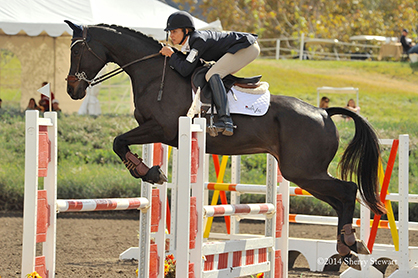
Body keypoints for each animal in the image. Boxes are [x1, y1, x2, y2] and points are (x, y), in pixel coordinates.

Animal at [63, 20, 386, 268]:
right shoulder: (158, 133)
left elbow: (118, 141)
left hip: (303, 171)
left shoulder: (162, 128)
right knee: (340, 199)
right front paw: (148, 170)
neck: (155, 74)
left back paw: (349, 244)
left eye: (76, 49)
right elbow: (121, 143)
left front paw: (151, 172)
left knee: (348, 190)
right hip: (305, 173)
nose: (72, 90)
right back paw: (348, 246)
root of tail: (323, 112)